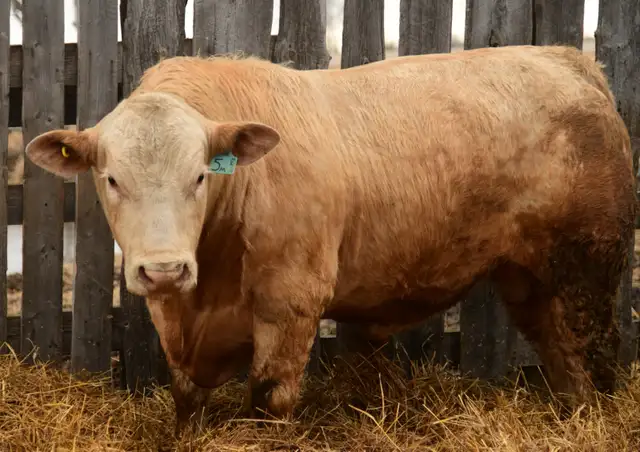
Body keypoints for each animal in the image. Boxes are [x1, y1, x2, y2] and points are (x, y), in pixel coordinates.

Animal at [24, 45, 637, 434]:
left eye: (200, 175)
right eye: (111, 178)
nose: (164, 269)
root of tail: (569, 59)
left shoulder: (290, 303)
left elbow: (269, 398)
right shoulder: (173, 317)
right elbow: (186, 397)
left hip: (589, 264)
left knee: (596, 350)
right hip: (529, 278)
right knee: (560, 351)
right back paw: (572, 416)